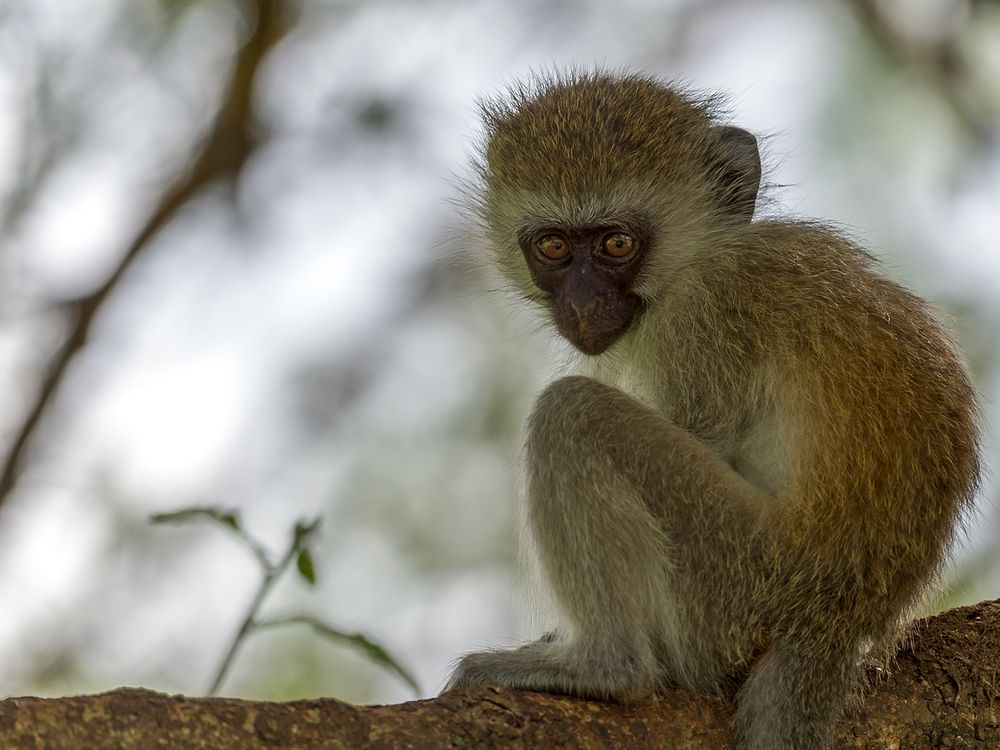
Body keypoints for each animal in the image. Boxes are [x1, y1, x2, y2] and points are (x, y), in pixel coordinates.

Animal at [442, 72, 980, 750]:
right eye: (555, 246)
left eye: (617, 243)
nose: (583, 302)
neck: (695, 259)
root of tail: (836, 616)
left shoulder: (705, 316)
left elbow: (702, 436)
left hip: (733, 581)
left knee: (573, 413)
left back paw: (605, 665)